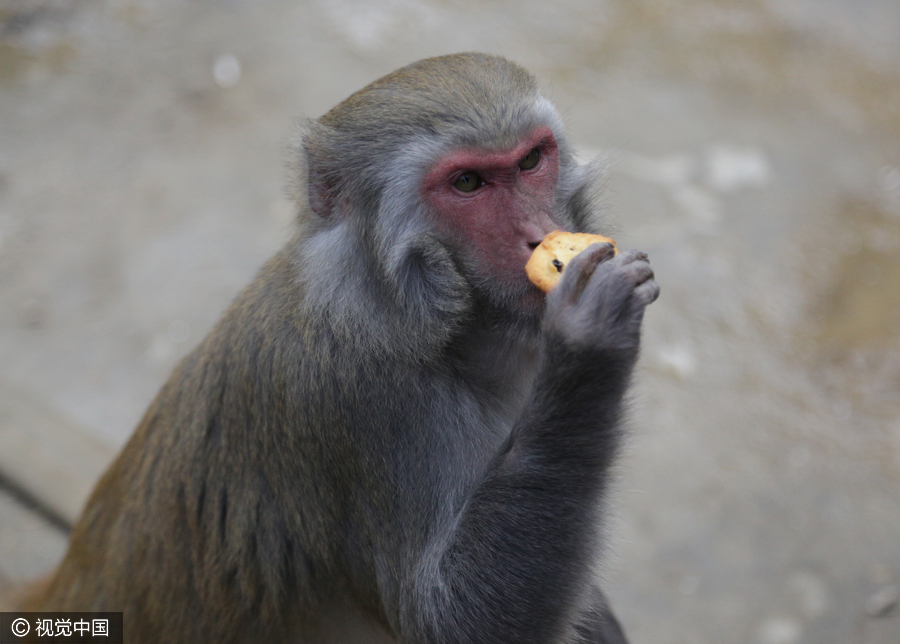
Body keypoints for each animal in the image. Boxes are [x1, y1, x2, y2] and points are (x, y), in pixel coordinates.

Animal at [24, 52, 656, 640]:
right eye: (467, 184)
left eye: (530, 161)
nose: (536, 235)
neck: (404, 311)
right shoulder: (370, 399)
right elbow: (453, 619)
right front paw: (590, 337)